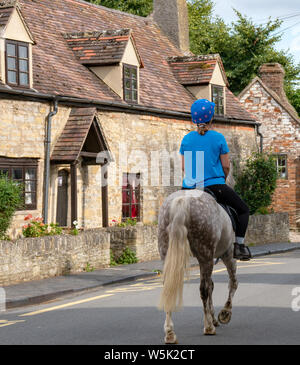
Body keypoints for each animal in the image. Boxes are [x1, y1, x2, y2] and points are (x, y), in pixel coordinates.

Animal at [158, 189, 238, 342]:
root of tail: (183, 200)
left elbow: (213, 285)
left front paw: (214, 317)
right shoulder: (228, 253)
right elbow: (233, 283)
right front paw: (225, 313)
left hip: (167, 254)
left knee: (168, 288)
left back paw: (170, 333)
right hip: (206, 256)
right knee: (204, 290)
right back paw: (208, 328)